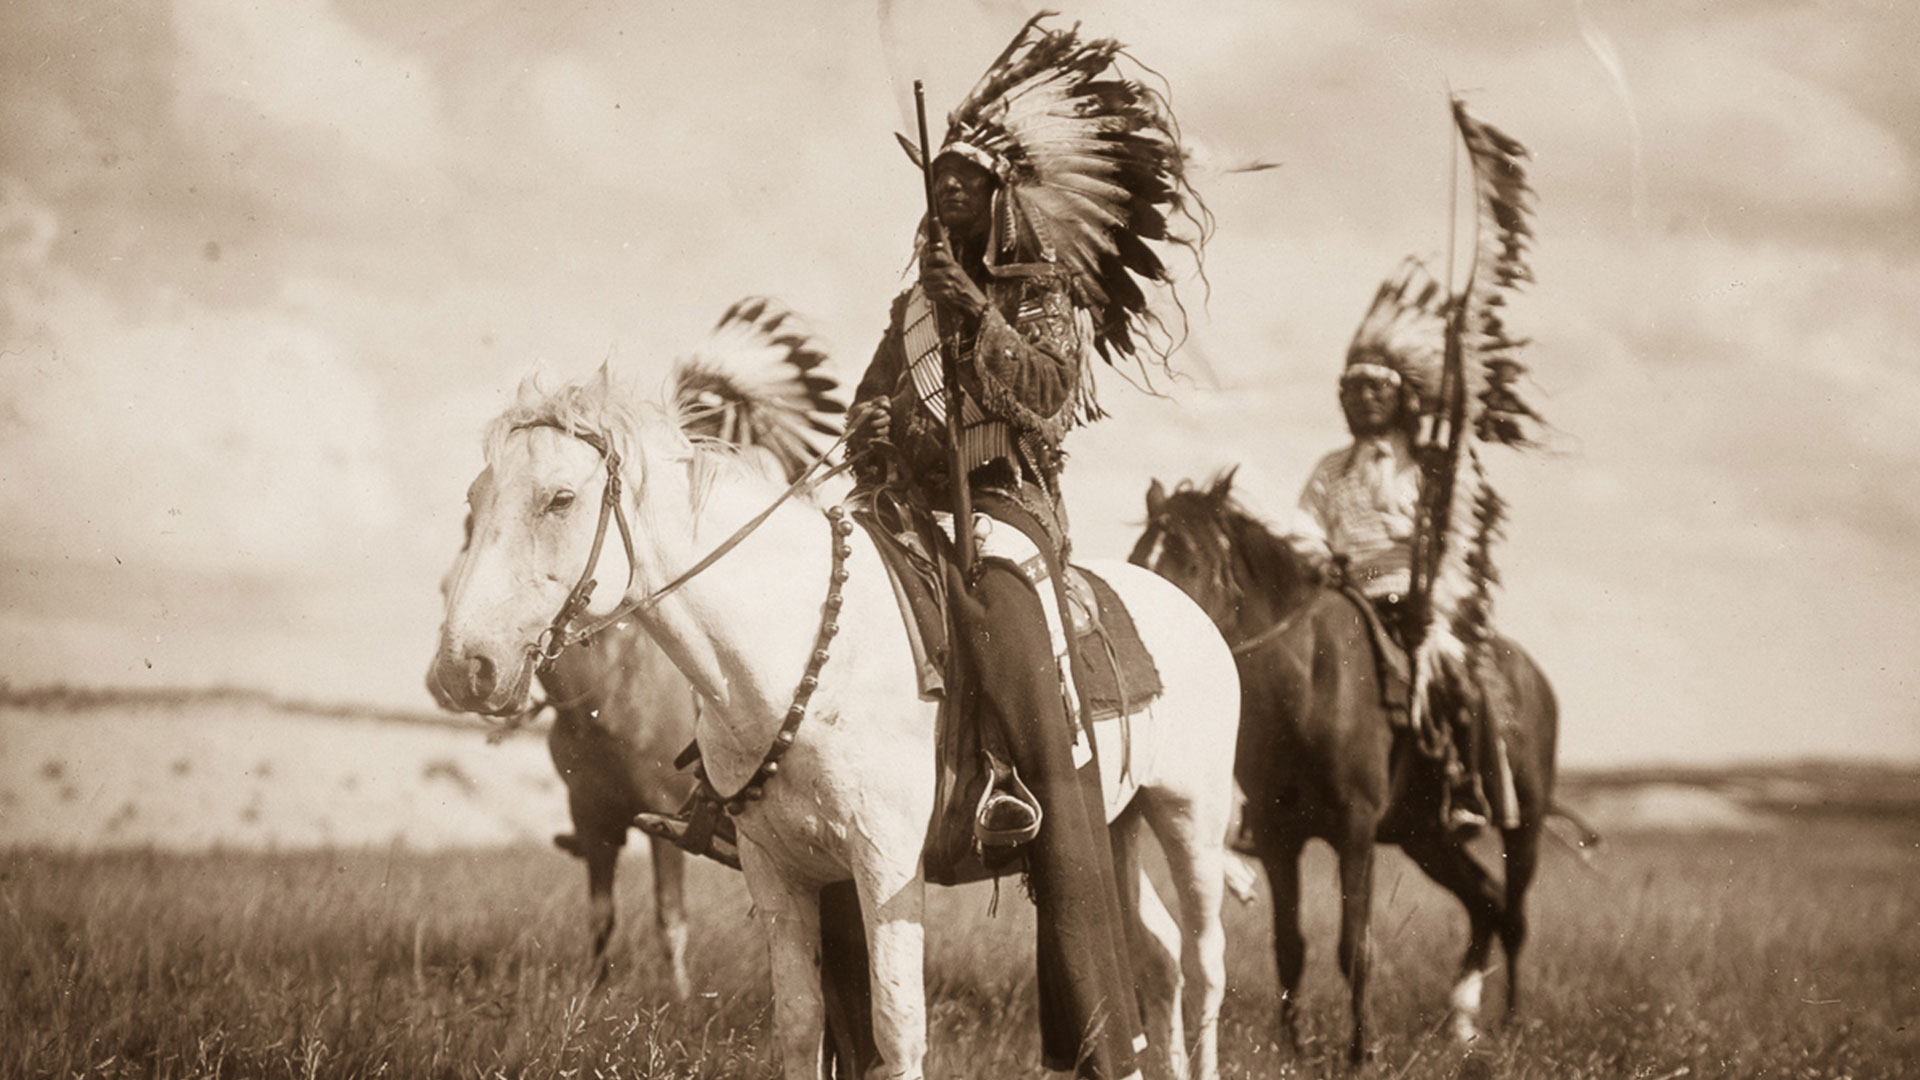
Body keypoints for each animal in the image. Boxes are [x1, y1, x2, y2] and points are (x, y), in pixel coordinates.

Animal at [432, 361, 1244, 1076]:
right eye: (472, 500)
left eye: (560, 499)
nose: (461, 669)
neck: (795, 655)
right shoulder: (781, 871)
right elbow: (801, 1024)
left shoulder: (884, 866)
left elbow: (897, 1028)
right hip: (1119, 826)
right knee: (1161, 958)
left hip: (1187, 819)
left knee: (1204, 964)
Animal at [1121, 468, 1559, 1060]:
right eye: (1138, 557)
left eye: (1189, 561)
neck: (1308, 682)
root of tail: (1534, 679)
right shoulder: (1278, 835)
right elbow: (1290, 944)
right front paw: (1295, 1048)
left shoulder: (1355, 829)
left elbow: (1356, 946)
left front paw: (1361, 1051)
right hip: (1427, 839)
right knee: (1485, 901)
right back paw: (1462, 1023)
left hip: (1523, 827)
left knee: (1513, 915)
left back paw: (1511, 1023)